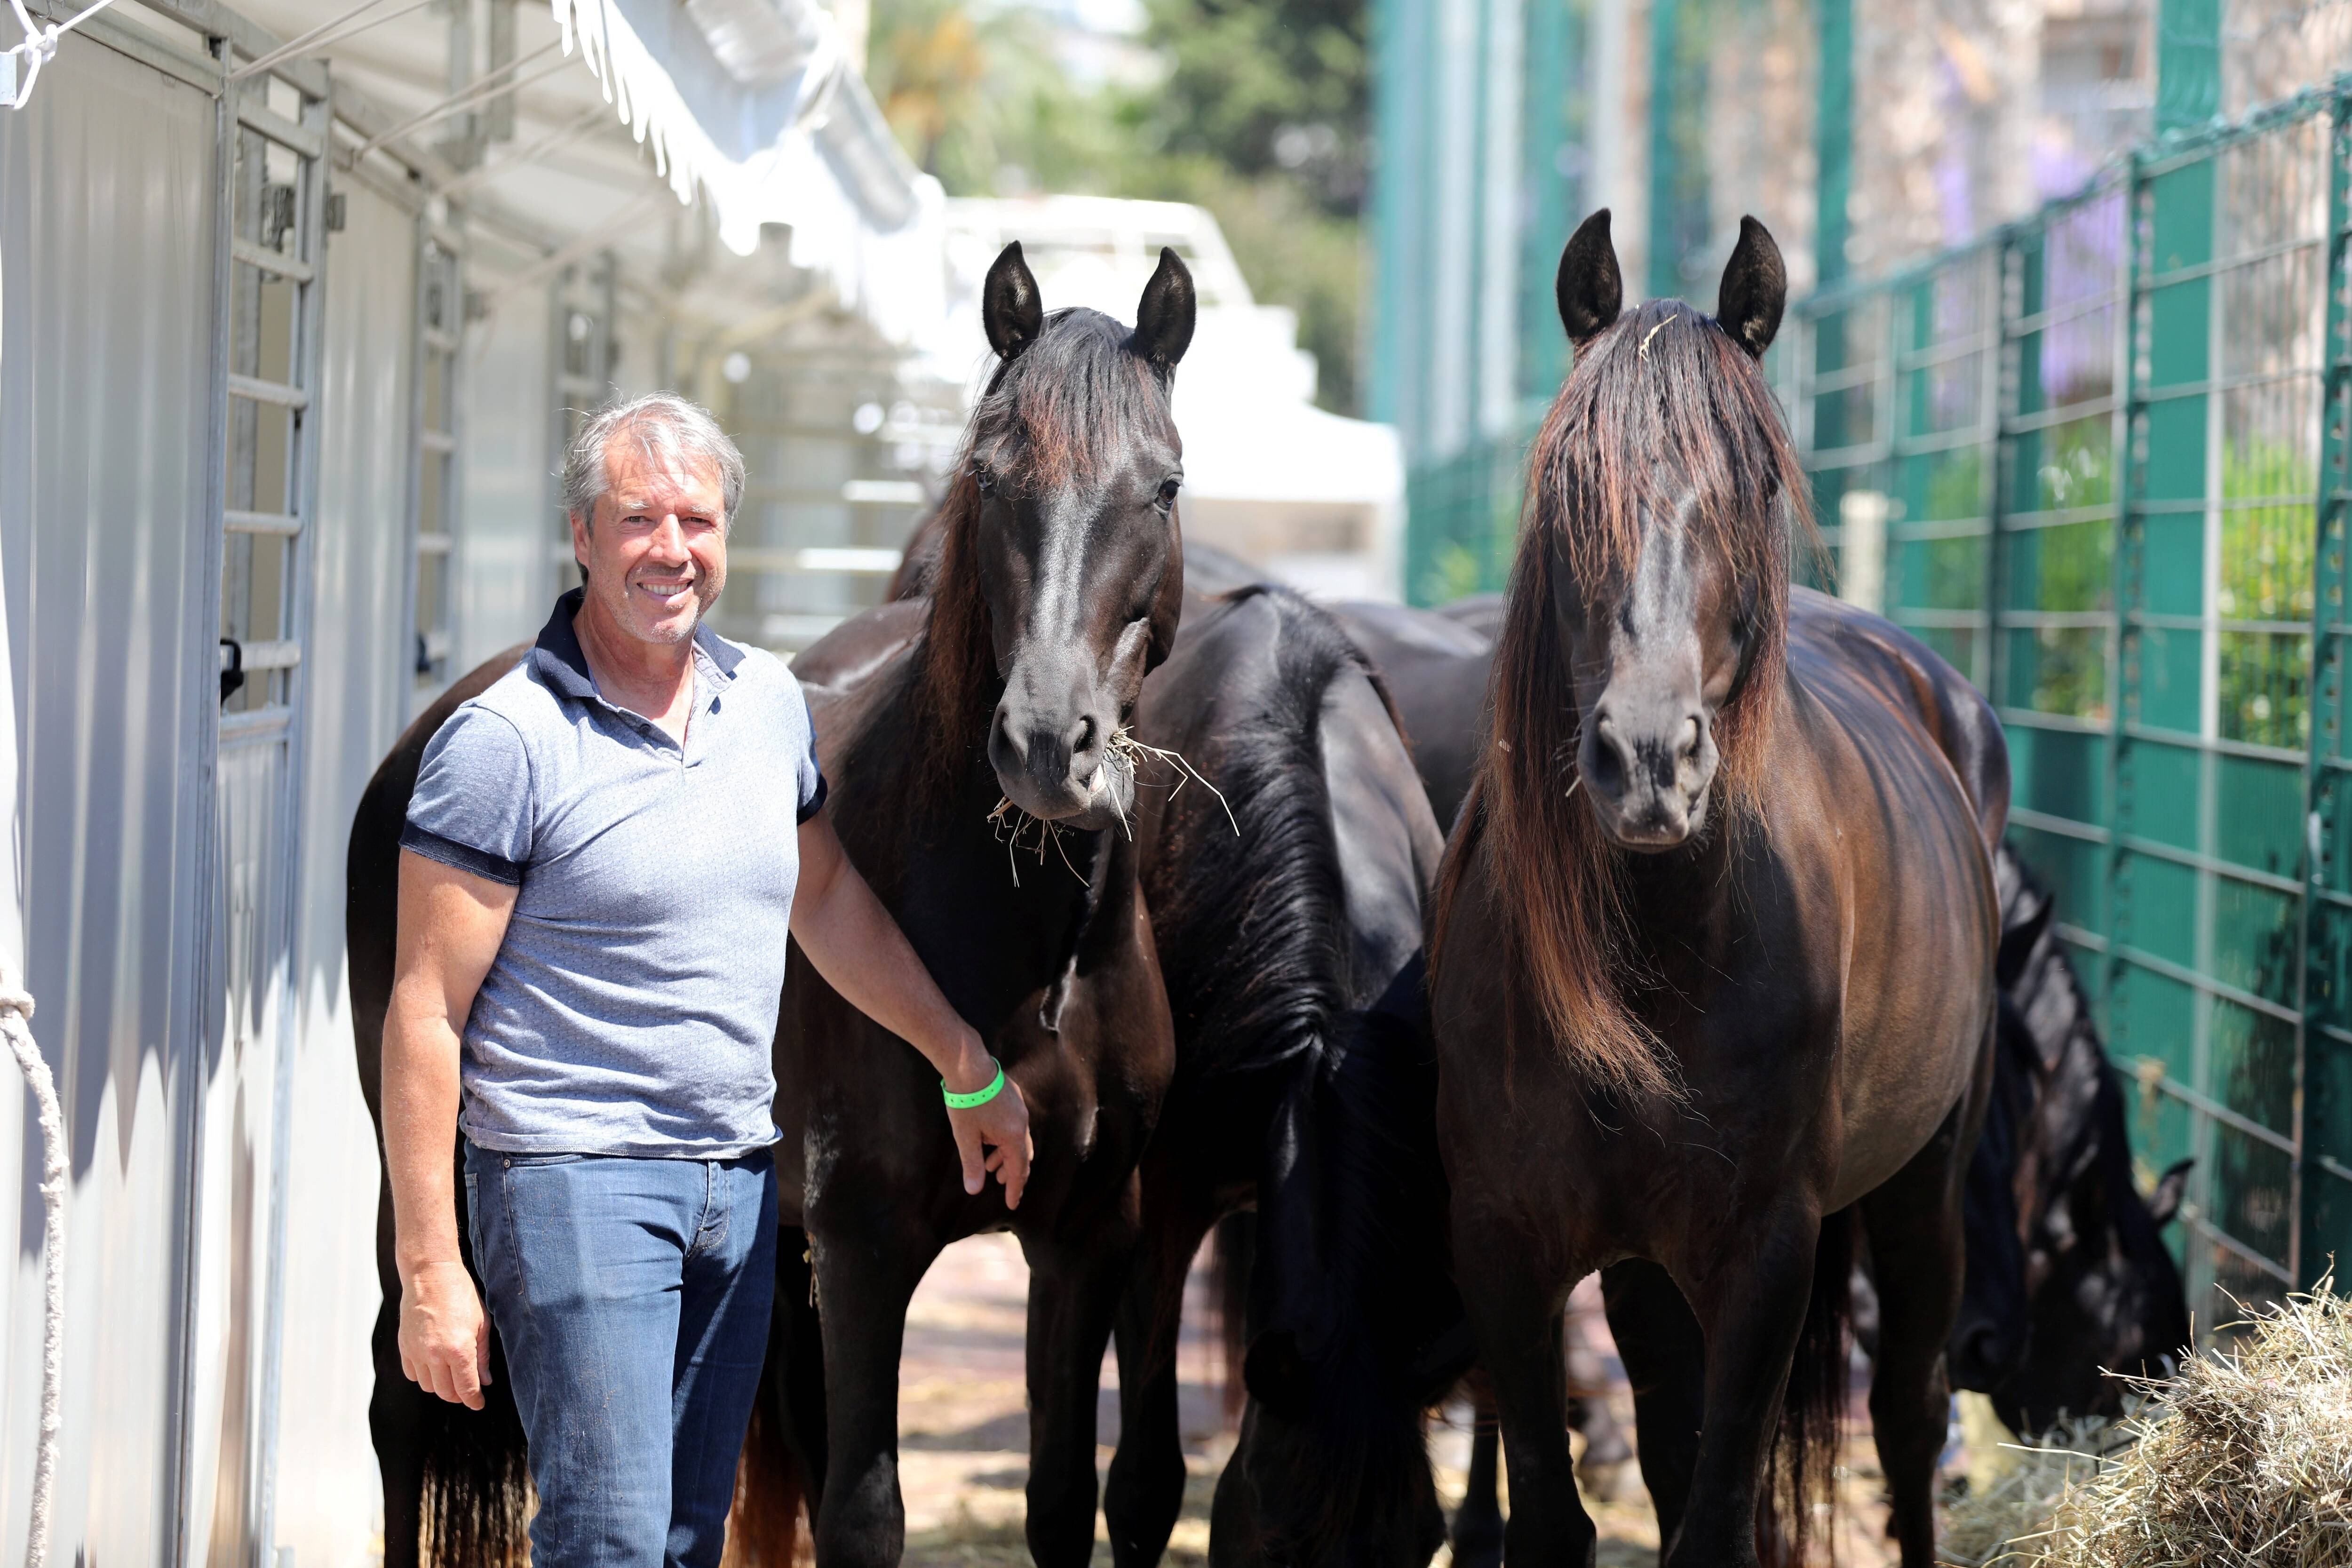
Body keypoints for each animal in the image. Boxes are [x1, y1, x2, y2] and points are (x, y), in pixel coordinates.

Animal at [1426, 211, 2009, 1568]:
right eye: (1567, 484)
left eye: (1754, 487)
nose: (1647, 759)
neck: (1663, 944)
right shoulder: (1503, 1247)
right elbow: (1556, 1506)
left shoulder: (1764, 1255)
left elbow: (1715, 1515)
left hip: (1925, 1189)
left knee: (1909, 1416)